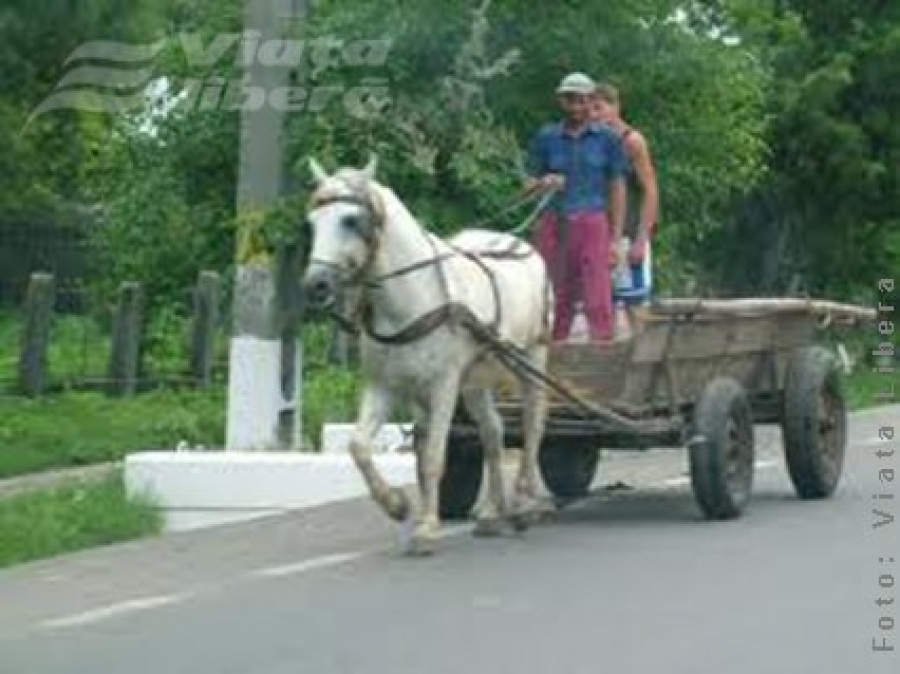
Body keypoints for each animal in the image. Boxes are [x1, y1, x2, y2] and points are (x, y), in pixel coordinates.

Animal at [300, 155, 556, 552]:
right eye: (312, 222)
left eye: (351, 220)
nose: (315, 285)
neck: (412, 298)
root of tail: (518, 244)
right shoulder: (386, 387)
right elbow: (361, 447)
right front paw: (398, 505)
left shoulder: (443, 386)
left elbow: (434, 456)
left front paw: (425, 530)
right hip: (477, 381)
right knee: (494, 432)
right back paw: (492, 513)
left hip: (531, 359)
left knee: (533, 424)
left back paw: (525, 502)